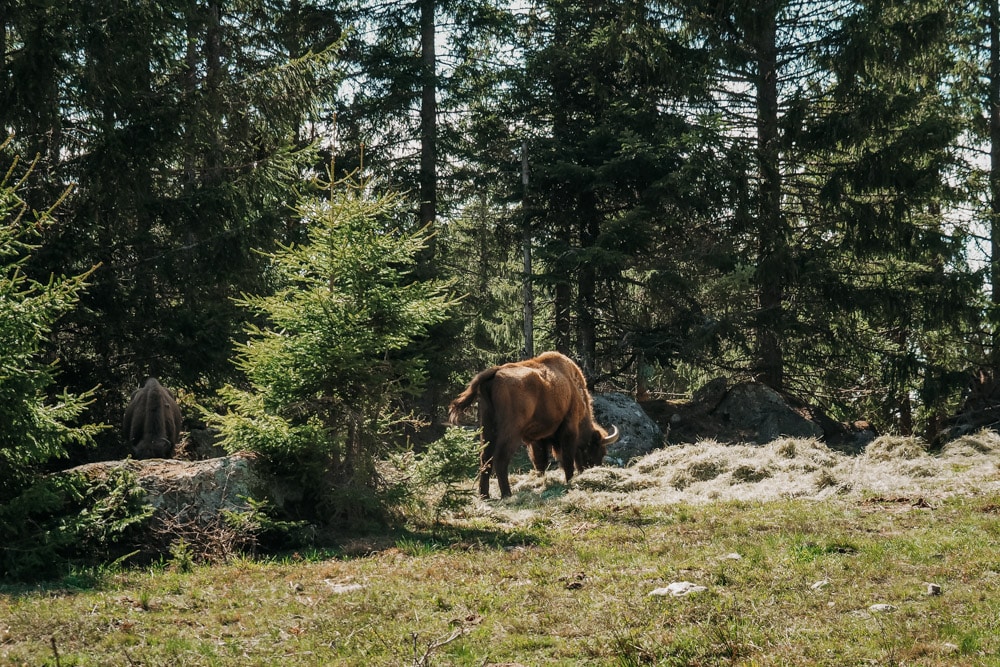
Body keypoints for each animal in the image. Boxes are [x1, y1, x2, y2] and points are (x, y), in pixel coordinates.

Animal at [448, 352, 616, 498]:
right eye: (597, 450)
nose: (593, 468)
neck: (573, 388)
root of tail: (496, 372)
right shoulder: (568, 429)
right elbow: (567, 459)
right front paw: (569, 481)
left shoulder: (537, 438)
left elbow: (540, 462)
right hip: (511, 433)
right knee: (501, 459)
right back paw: (507, 494)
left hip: (487, 428)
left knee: (485, 459)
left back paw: (484, 495)